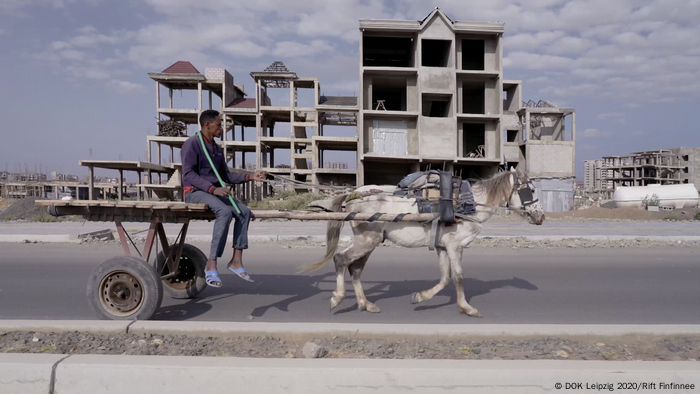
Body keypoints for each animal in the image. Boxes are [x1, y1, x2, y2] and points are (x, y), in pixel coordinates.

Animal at [302, 166, 548, 318]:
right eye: (530, 190)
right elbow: (458, 277)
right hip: (367, 239)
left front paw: (421, 297)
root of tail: (354, 196)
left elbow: (445, 277)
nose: (541, 216)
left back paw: (365, 303)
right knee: (341, 259)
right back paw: (338, 297)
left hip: (370, 241)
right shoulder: (455, 246)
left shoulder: (442, 247)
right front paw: (466, 307)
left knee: (355, 269)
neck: (470, 204)